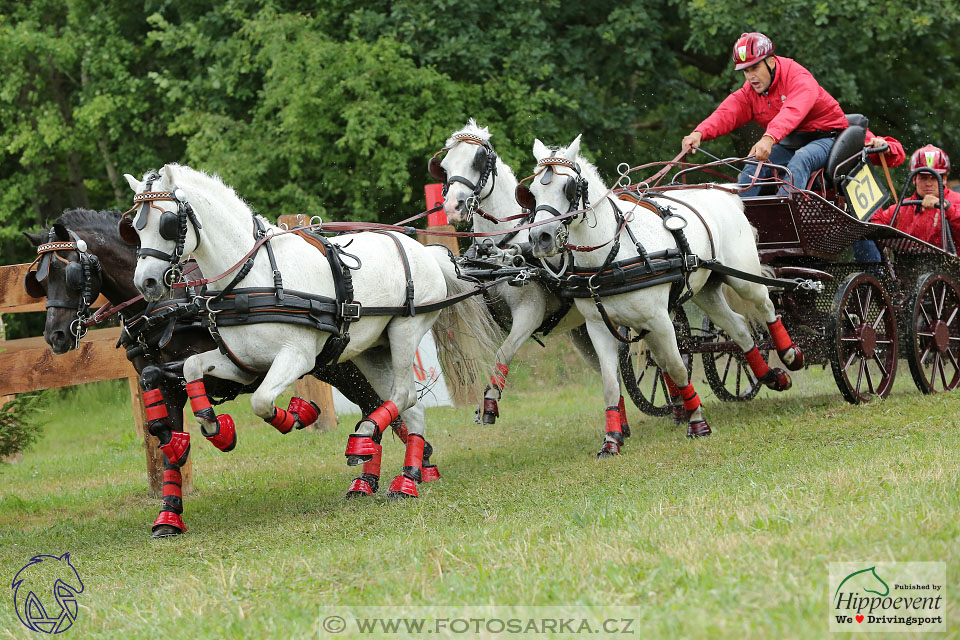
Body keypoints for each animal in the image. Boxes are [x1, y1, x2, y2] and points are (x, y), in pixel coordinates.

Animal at [24, 209, 438, 536]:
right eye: (38, 281)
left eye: (68, 272)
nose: (55, 336)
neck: (169, 304)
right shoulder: (167, 381)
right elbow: (159, 424)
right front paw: (169, 513)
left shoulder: (224, 369)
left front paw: (224, 431)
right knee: (380, 405)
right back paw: (376, 475)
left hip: (343, 367)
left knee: (382, 405)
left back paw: (400, 467)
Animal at [124, 164, 498, 500]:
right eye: (134, 228)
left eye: (166, 224)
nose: (146, 283)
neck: (253, 277)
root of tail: (427, 252)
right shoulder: (242, 365)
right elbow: (192, 368)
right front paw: (217, 427)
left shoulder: (297, 357)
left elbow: (262, 402)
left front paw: (297, 416)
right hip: (373, 350)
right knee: (410, 407)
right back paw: (405, 479)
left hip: (405, 331)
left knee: (403, 394)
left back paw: (365, 441)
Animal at [432, 119, 640, 430]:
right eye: (444, 166)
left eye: (478, 160)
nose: (453, 207)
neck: (502, 249)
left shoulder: (529, 312)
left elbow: (503, 352)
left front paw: (490, 403)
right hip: (583, 332)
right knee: (609, 372)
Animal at [524, 138, 804, 452]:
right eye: (532, 191)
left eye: (568, 187)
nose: (540, 238)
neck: (611, 255)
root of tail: (724, 192)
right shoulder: (598, 327)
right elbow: (610, 384)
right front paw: (612, 439)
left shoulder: (659, 320)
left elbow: (677, 367)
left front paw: (697, 422)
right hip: (706, 289)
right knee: (740, 329)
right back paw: (770, 376)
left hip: (743, 277)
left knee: (766, 307)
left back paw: (790, 355)